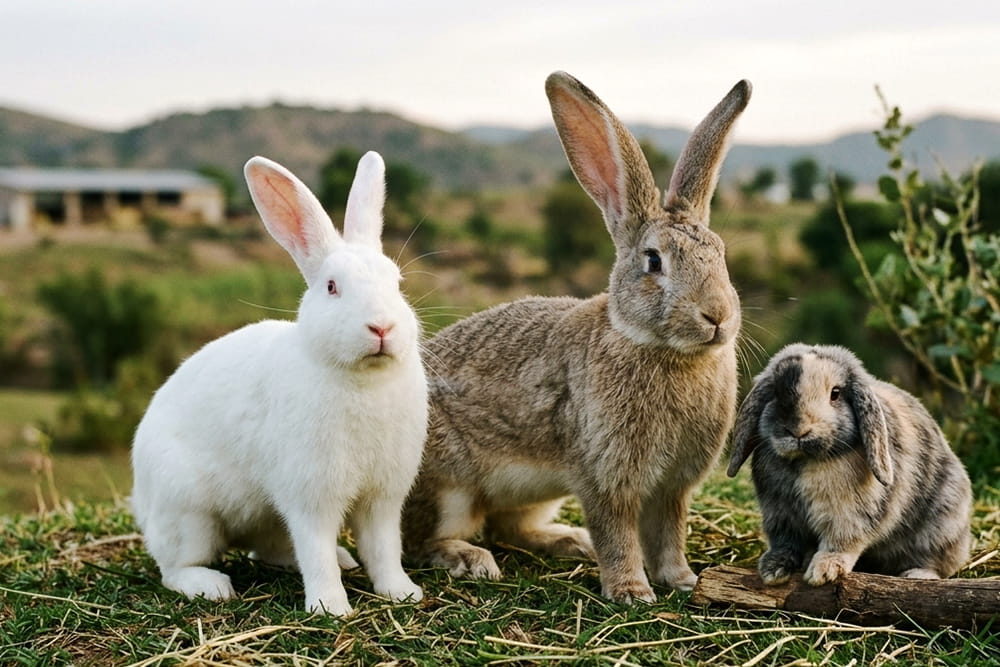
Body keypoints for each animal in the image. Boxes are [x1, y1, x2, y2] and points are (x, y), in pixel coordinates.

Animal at [131, 152, 427, 616]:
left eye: (397, 284)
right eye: (332, 287)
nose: (382, 327)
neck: (363, 379)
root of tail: (141, 501)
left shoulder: (383, 497)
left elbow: (383, 549)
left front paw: (402, 592)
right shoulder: (311, 496)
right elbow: (316, 551)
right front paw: (331, 608)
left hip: (263, 516)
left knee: (268, 549)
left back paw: (343, 559)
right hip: (188, 513)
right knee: (175, 567)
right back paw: (212, 586)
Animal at [402, 71, 751, 604]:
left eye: (721, 254)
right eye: (654, 261)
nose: (717, 316)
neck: (661, 349)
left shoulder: (674, 488)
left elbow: (670, 535)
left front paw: (682, 580)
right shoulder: (605, 476)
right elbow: (618, 534)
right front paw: (631, 591)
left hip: (534, 494)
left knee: (510, 527)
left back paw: (568, 541)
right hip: (446, 485)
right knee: (419, 540)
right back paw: (470, 559)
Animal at [727, 343, 973, 586]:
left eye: (835, 394)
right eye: (777, 392)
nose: (798, 430)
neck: (806, 460)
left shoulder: (849, 513)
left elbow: (842, 541)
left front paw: (823, 571)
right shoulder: (780, 513)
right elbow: (785, 543)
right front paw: (772, 570)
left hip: (940, 528)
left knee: (933, 561)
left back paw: (916, 575)